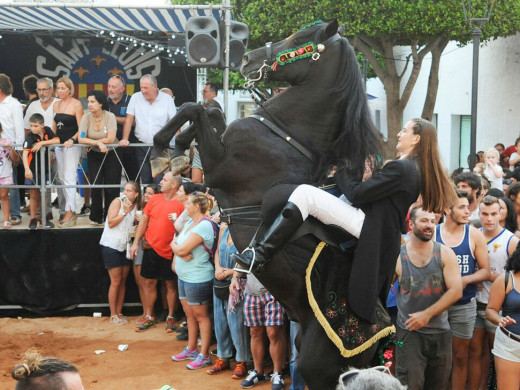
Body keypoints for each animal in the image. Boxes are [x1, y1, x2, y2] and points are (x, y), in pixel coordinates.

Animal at [150, 20, 386, 390]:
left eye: (300, 39)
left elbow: (195, 108)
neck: (287, 135)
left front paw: (164, 149)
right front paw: (176, 151)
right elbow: (209, 110)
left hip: (315, 365)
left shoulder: (221, 166)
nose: (248, 58)